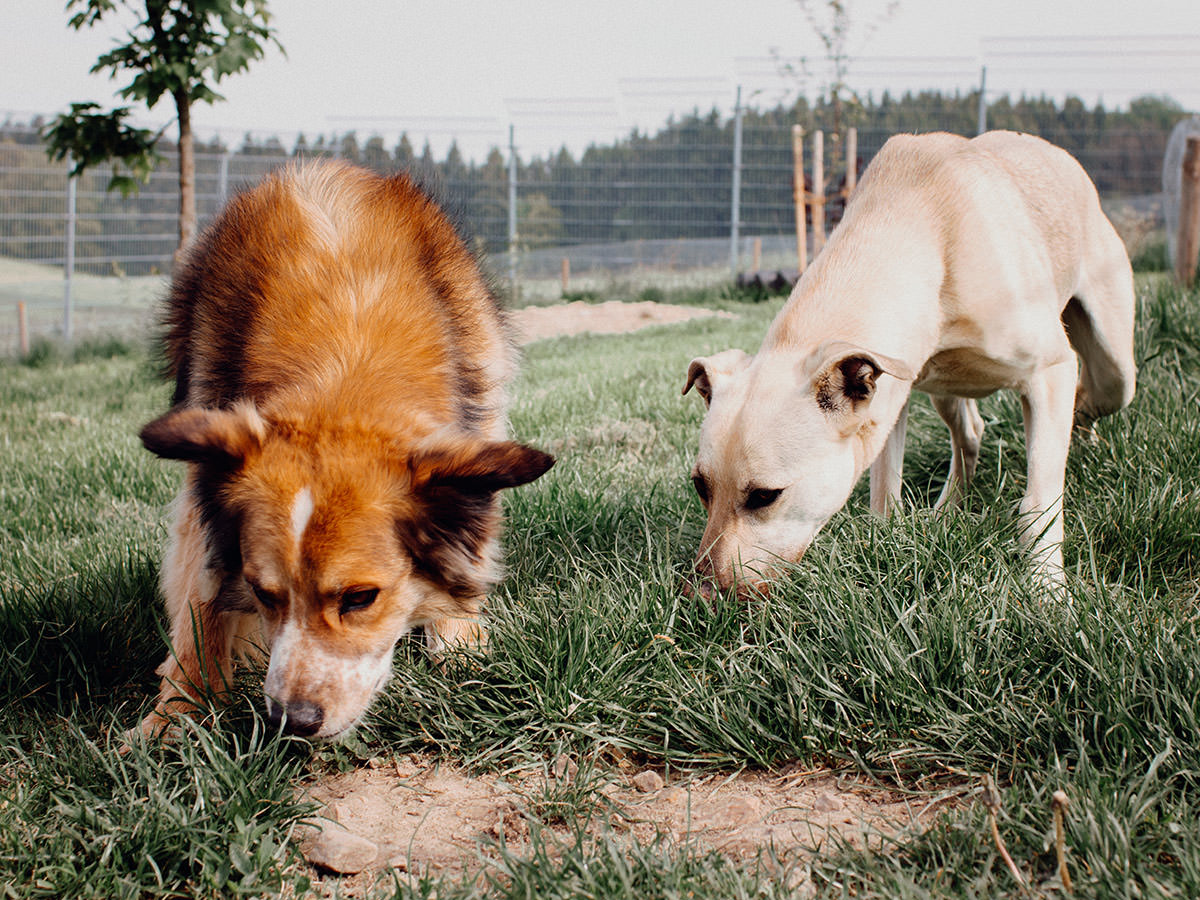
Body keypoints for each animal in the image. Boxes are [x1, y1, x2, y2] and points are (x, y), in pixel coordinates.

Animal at [135, 160, 552, 739]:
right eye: (264, 593)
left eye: (360, 599)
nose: (293, 721)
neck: (345, 360)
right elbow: (204, 594)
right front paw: (176, 716)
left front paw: (460, 645)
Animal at [686, 128, 1132, 592]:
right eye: (700, 486)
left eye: (764, 496)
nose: (702, 595)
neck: (925, 232)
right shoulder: (887, 399)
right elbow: (885, 489)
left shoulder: (1049, 371)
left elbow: (1040, 499)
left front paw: (1046, 586)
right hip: (945, 390)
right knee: (969, 432)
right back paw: (948, 508)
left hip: (1116, 366)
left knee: (1093, 396)